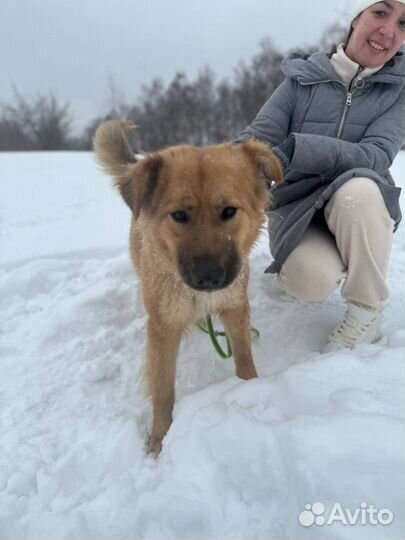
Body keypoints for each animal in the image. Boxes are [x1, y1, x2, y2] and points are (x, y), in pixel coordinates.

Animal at [93, 120, 282, 454]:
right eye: (180, 215)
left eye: (229, 211)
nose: (209, 277)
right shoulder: (163, 328)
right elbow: (163, 391)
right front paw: (159, 441)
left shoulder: (236, 308)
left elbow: (244, 359)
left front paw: (250, 392)